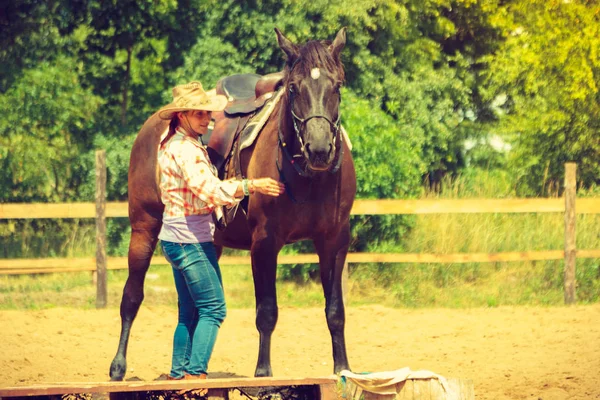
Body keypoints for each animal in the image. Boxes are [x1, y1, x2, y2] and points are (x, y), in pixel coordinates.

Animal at [109, 28, 354, 382]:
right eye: (294, 88)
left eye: (337, 86)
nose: (319, 149)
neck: (307, 176)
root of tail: (152, 125)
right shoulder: (264, 242)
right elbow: (266, 311)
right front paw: (263, 372)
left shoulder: (334, 241)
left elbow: (335, 310)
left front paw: (343, 369)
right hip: (143, 227)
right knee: (131, 296)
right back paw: (118, 366)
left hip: (208, 243)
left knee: (192, 308)